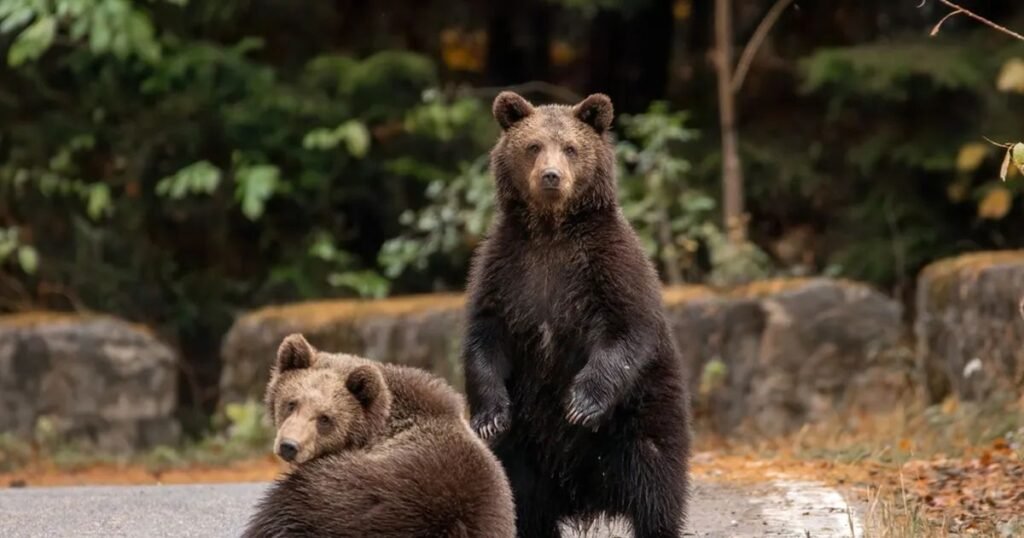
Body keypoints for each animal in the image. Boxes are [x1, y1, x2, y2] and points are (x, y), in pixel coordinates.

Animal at [462, 91, 692, 538]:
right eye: (534, 146)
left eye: (570, 147)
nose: (551, 176)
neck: (551, 232)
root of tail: (586, 498)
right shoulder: (506, 270)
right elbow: (485, 336)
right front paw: (490, 418)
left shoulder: (609, 266)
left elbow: (627, 330)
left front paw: (580, 403)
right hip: (526, 450)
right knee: (525, 501)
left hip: (645, 414)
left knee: (657, 485)